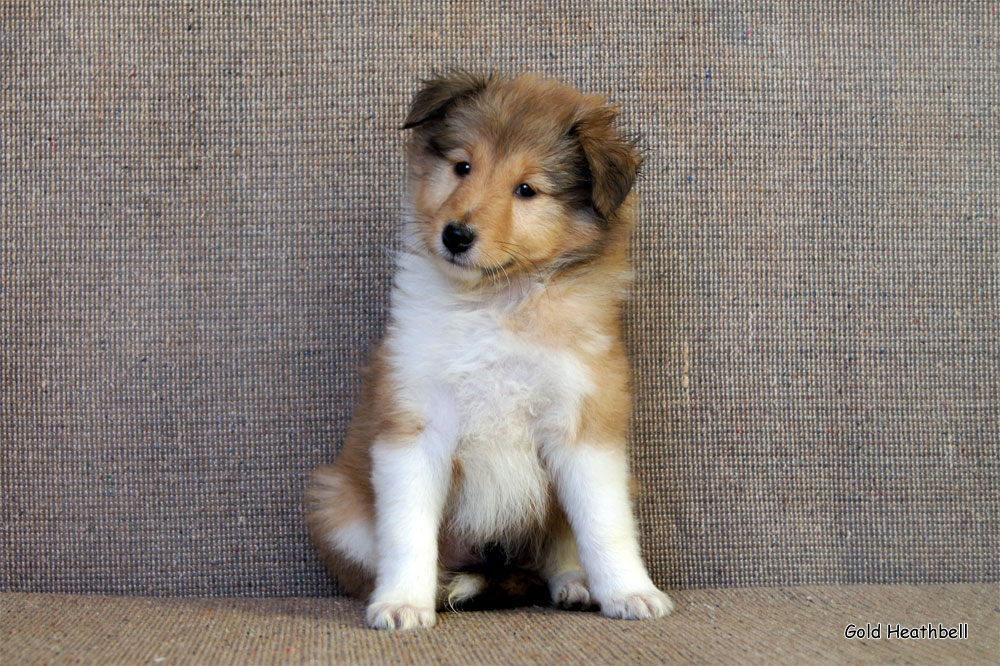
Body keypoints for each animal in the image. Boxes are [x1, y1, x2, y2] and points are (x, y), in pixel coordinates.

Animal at [308, 71, 676, 628]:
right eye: (463, 166)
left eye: (527, 190)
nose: (456, 235)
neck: (496, 304)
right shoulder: (416, 423)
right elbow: (407, 529)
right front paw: (402, 603)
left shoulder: (584, 426)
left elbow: (604, 525)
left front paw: (631, 592)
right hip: (337, 503)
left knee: (559, 549)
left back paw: (576, 585)